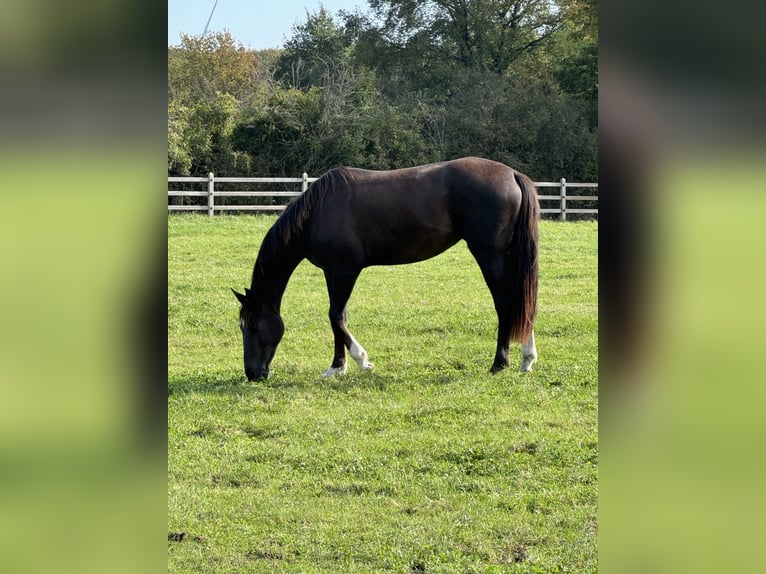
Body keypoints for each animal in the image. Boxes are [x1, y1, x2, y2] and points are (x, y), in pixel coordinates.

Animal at [232, 158, 540, 382]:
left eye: (254, 326)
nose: (253, 374)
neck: (318, 211)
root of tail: (513, 174)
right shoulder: (331, 272)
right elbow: (337, 317)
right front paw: (337, 367)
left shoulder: (345, 271)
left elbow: (336, 317)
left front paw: (362, 360)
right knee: (522, 302)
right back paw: (527, 358)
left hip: (489, 255)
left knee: (505, 303)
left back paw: (500, 363)